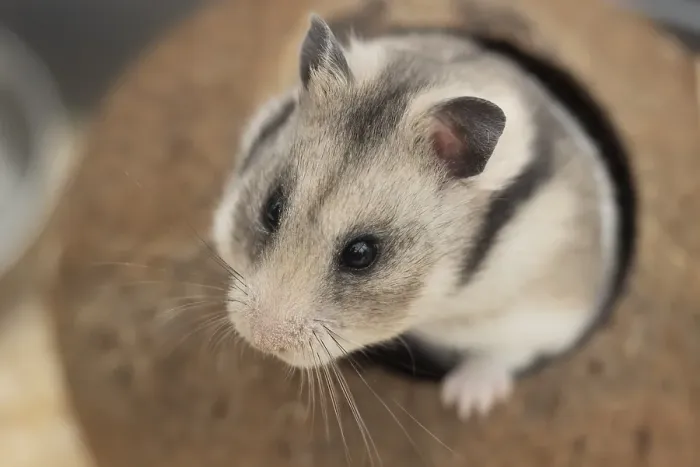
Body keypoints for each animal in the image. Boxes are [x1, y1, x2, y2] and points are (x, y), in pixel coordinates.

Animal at [212, 15, 625, 420]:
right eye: (272, 209)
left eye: (362, 254)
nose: (261, 340)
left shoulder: (552, 310)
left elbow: (504, 353)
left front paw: (465, 404)